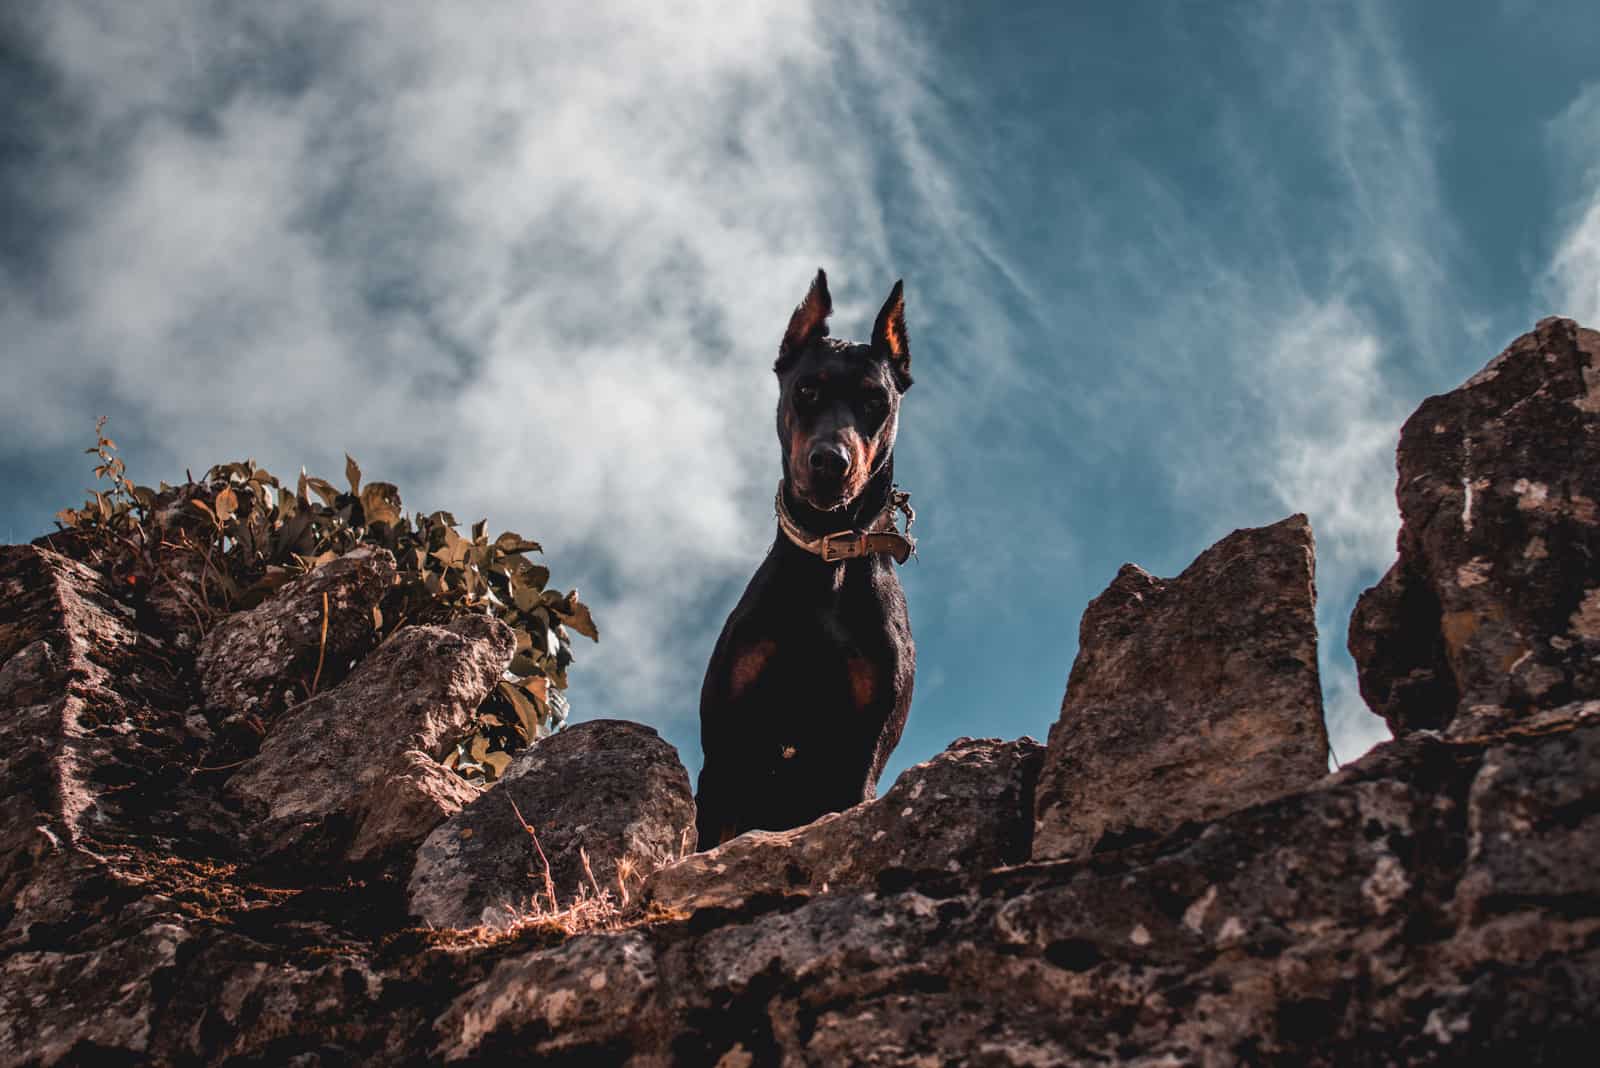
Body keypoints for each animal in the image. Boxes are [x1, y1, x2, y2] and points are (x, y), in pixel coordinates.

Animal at [697, 271, 921, 844]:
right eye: (806, 390)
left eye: (876, 400)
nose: (830, 462)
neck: (827, 559)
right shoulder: (726, 750)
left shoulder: (860, 756)